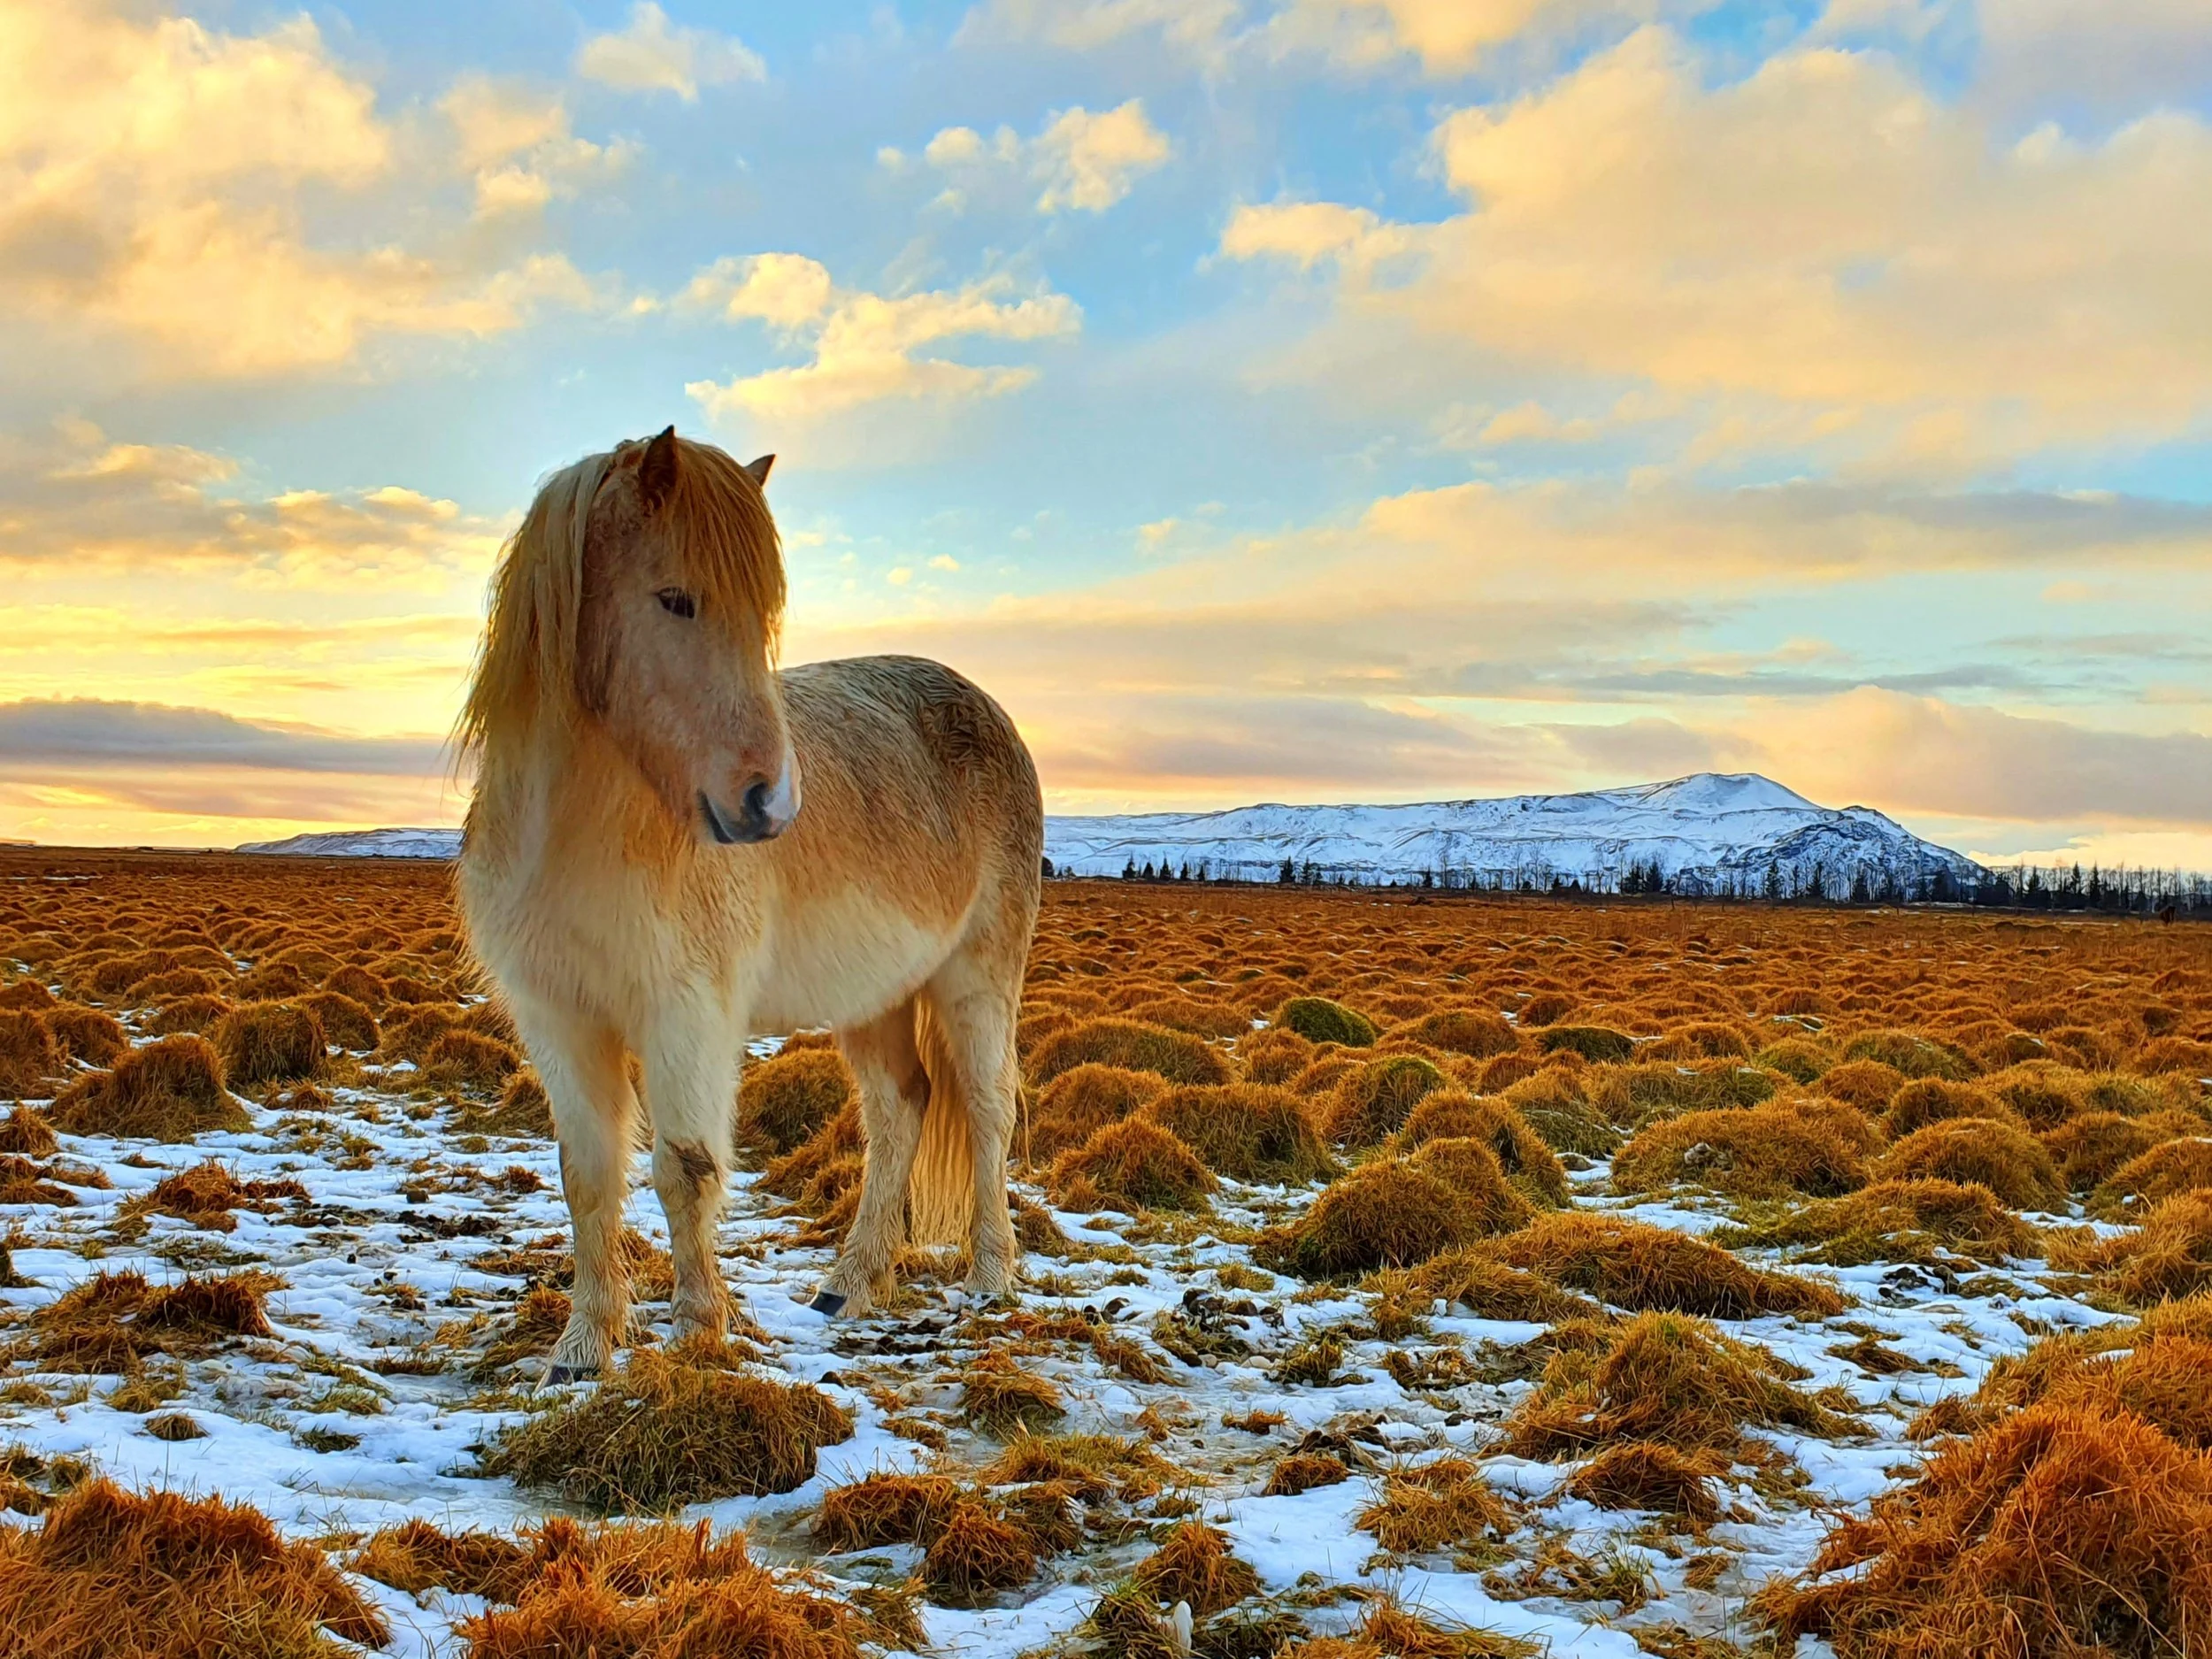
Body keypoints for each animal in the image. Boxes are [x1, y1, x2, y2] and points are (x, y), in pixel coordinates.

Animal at [454, 427, 1042, 1380]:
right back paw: (849, 1282)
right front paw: (581, 1347)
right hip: (873, 995)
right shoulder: (560, 1018)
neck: (582, 831)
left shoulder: (687, 1012)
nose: (770, 803)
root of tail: (988, 711)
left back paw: (990, 1277)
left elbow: (683, 1168)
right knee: (900, 1109)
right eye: (675, 600)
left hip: (976, 979)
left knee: (988, 1111)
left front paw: (698, 1333)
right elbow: (587, 1176)